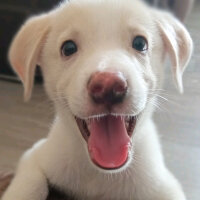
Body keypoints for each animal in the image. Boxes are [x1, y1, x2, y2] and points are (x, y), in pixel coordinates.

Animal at [1, 0, 192, 200]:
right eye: (68, 48)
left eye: (140, 43)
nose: (109, 87)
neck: (102, 173)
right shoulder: (35, 154)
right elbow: (28, 185)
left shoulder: (164, 186)